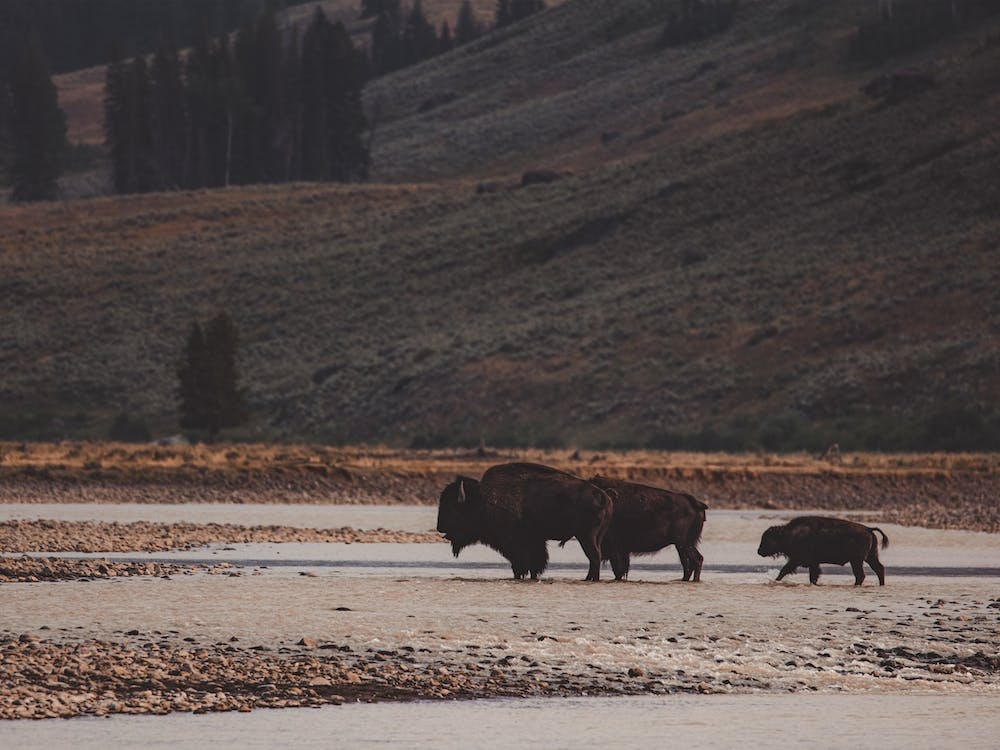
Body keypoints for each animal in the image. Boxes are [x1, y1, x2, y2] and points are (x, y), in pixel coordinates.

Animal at [436, 462, 614, 581]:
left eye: (453, 508)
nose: (439, 526)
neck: (484, 500)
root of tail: (602, 495)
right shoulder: (535, 542)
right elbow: (535, 563)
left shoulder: (516, 544)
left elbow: (521, 563)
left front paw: (520, 576)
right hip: (595, 537)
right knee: (595, 557)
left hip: (586, 536)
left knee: (594, 557)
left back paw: (589, 579)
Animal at [757, 516, 889, 585]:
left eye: (767, 539)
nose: (759, 551)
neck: (788, 534)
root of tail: (868, 529)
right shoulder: (811, 563)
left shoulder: (799, 560)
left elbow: (785, 570)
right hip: (870, 557)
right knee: (879, 569)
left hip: (857, 560)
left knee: (861, 574)